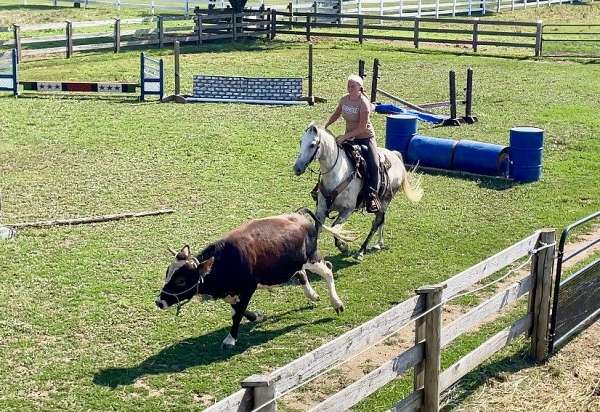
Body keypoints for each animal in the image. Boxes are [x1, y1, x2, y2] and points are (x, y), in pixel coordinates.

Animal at [292, 121, 422, 260]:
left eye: (312, 145)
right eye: (300, 142)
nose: (297, 168)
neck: (338, 173)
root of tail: (396, 157)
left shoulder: (347, 210)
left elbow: (335, 228)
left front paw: (343, 246)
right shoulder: (321, 209)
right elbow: (318, 229)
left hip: (385, 200)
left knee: (376, 222)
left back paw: (361, 251)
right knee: (381, 220)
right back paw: (379, 244)